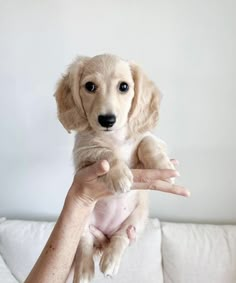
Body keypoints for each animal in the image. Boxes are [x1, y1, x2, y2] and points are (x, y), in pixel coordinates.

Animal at [54, 54, 174, 282]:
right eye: (90, 86)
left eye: (124, 86)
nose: (107, 120)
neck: (115, 136)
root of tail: (106, 233)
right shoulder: (84, 152)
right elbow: (106, 153)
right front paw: (119, 175)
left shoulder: (153, 140)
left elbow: (147, 142)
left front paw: (163, 165)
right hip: (83, 220)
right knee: (85, 243)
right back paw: (84, 271)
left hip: (136, 219)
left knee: (121, 237)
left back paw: (110, 260)